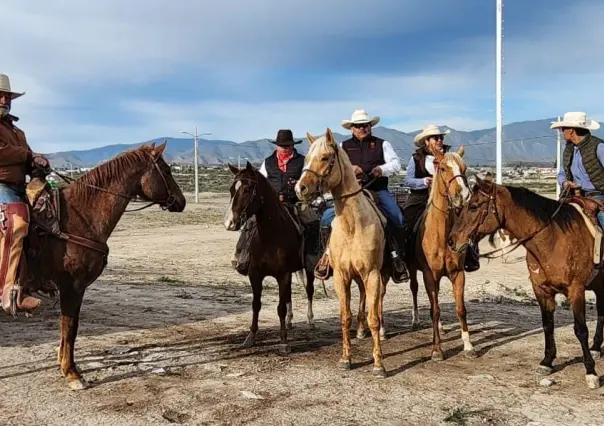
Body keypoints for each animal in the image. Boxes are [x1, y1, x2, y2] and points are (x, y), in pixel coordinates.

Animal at [20, 141, 185, 388]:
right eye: (166, 170)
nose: (181, 201)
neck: (78, 219)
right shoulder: (72, 287)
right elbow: (70, 327)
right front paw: (72, 373)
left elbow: (68, 328)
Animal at [224, 161, 318, 352]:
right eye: (231, 189)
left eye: (247, 189)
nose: (229, 223)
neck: (270, 237)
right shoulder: (255, 275)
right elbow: (256, 304)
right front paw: (251, 336)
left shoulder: (283, 275)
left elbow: (281, 307)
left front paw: (283, 341)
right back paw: (289, 321)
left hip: (308, 269)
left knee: (309, 290)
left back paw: (310, 320)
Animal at [294, 127, 390, 376]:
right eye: (306, 159)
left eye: (325, 157)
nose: (300, 188)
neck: (353, 225)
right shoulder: (341, 275)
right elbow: (345, 317)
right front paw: (346, 358)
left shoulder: (372, 274)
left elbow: (374, 317)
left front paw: (379, 363)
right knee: (364, 299)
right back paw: (361, 330)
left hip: (381, 275)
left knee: (378, 301)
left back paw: (381, 331)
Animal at [406, 146, 476, 360]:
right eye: (443, 168)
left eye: (464, 168)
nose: (463, 195)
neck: (442, 233)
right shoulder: (430, 275)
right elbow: (434, 310)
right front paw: (436, 349)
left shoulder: (457, 273)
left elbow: (461, 309)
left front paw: (468, 345)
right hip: (413, 269)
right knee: (414, 289)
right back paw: (415, 320)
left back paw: (442, 327)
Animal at [448, 174, 604, 390]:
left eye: (473, 206)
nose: (451, 241)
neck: (554, 239)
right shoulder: (541, 290)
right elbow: (547, 325)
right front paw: (547, 361)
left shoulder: (576, 290)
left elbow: (580, 330)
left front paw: (591, 372)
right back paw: (597, 347)